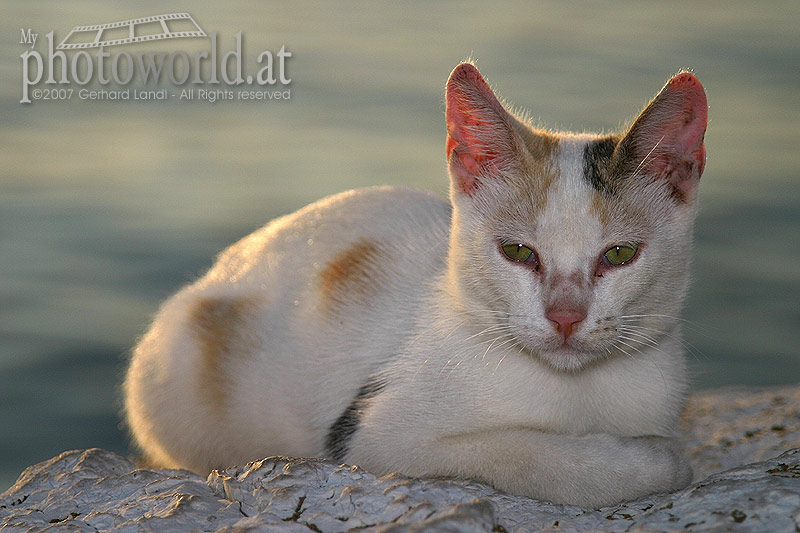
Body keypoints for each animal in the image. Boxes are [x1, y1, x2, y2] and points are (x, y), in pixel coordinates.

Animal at [125, 62, 708, 508]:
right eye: (518, 252)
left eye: (620, 254)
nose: (565, 316)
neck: (575, 390)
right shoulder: (376, 438)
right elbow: (533, 457)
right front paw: (656, 460)